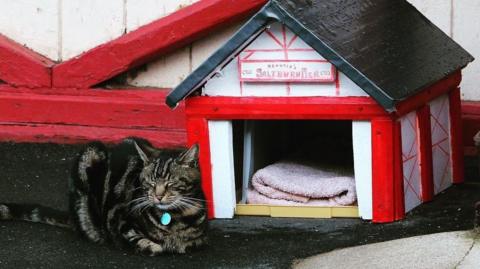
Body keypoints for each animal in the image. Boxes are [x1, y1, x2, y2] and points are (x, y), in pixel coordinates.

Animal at [0, 138, 206, 253]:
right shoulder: (121, 225)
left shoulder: (198, 238)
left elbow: (191, 241)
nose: (158, 196)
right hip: (91, 152)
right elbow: (151, 245)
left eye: (170, 183)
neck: (176, 218)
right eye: (150, 183)